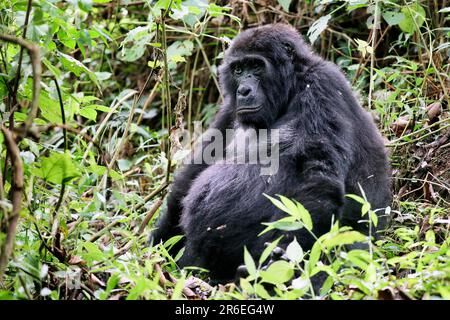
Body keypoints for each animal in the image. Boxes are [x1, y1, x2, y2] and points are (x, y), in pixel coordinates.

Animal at [150, 24, 390, 284]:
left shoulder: (321, 84)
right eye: (238, 70)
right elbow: (193, 173)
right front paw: (157, 245)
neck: (291, 86)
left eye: (256, 66)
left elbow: (314, 180)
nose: (244, 90)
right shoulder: (230, 108)